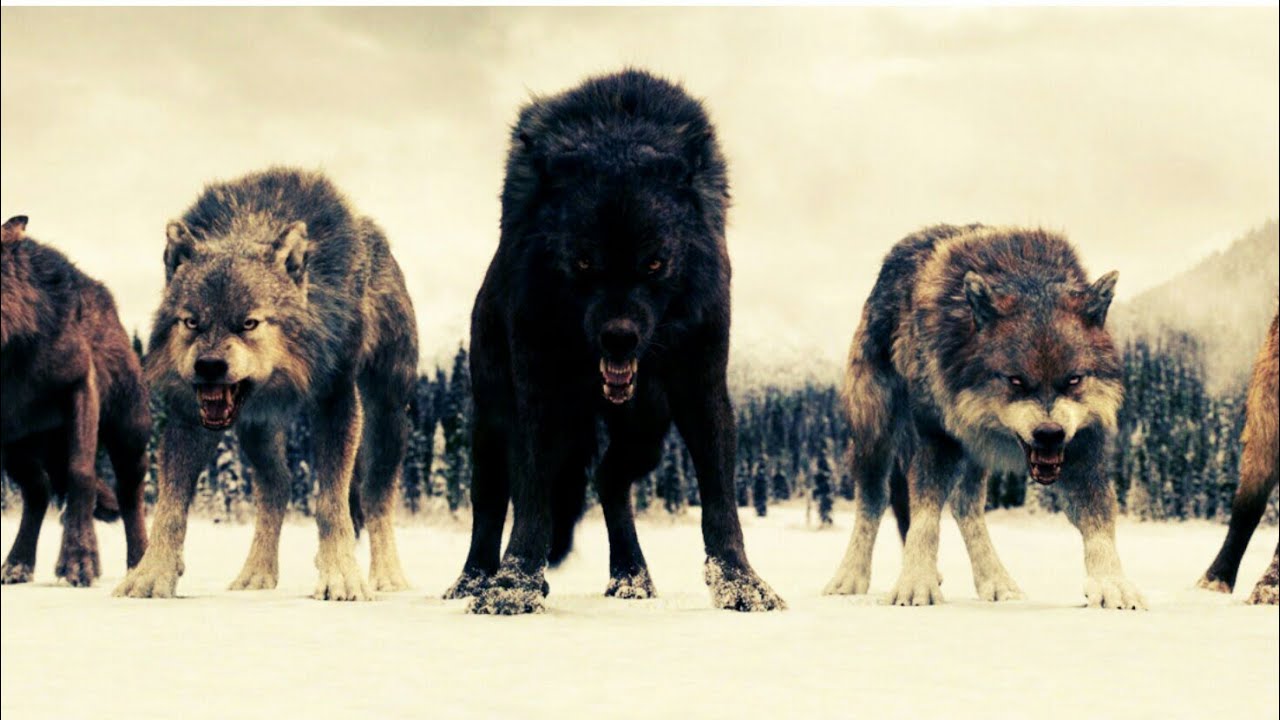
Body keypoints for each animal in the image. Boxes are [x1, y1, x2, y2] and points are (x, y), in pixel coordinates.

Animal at [1, 215, 150, 586]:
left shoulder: (80, 386)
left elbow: (80, 474)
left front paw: (79, 562)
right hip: (17, 448)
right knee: (38, 490)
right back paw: (16, 566)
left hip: (130, 433)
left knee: (130, 492)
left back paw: (141, 564)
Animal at [113, 168, 418, 601]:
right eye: (192, 322)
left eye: (249, 323)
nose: (209, 366)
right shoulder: (188, 416)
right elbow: (169, 510)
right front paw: (150, 576)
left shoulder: (336, 399)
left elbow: (331, 503)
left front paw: (341, 576)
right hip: (257, 431)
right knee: (278, 490)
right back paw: (255, 574)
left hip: (387, 417)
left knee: (376, 497)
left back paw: (389, 577)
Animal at [443, 69, 784, 614]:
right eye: (584, 262)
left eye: (655, 263)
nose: (619, 338)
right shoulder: (537, 394)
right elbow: (532, 494)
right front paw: (513, 586)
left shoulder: (703, 388)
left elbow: (720, 501)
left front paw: (741, 584)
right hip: (492, 423)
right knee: (491, 503)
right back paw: (475, 579)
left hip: (647, 431)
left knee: (608, 479)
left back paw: (631, 577)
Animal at [824, 224, 1145, 609]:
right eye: (1016, 380)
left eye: (1074, 380)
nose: (1049, 433)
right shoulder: (937, 436)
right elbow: (925, 515)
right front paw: (916, 583)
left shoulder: (1082, 445)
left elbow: (1100, 519)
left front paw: (1113, 585)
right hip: (876, 434)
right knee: (873, 501)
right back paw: (849, 577)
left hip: (975, 449)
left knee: (966, 506)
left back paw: (997, 582)